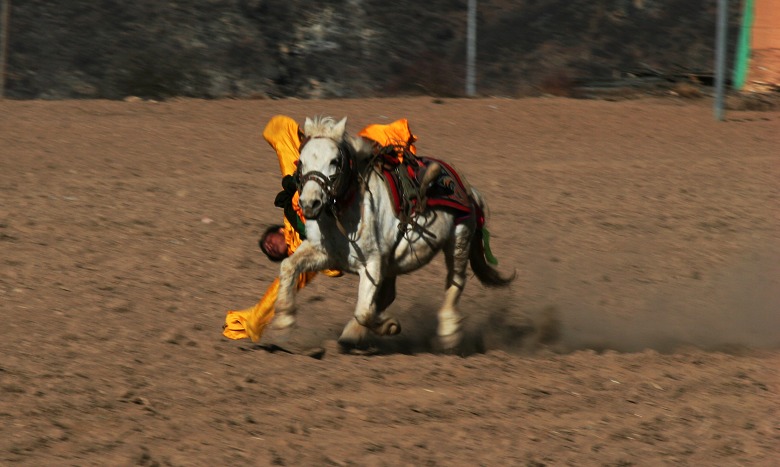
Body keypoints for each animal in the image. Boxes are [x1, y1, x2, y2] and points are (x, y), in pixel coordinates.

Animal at [272, 117, 516, 352]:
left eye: (334, 161)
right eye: (301, 162)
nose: (309, 203)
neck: (347, 210)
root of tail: (468, 190)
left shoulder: (371, 263)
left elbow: (364, 311)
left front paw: (390, 326)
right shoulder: (326, 253)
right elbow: (288, 265)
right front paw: (283, 320)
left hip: (459, 239)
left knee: (455, 281)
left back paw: (449, 333)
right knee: (388, 293)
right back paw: (352, 334)